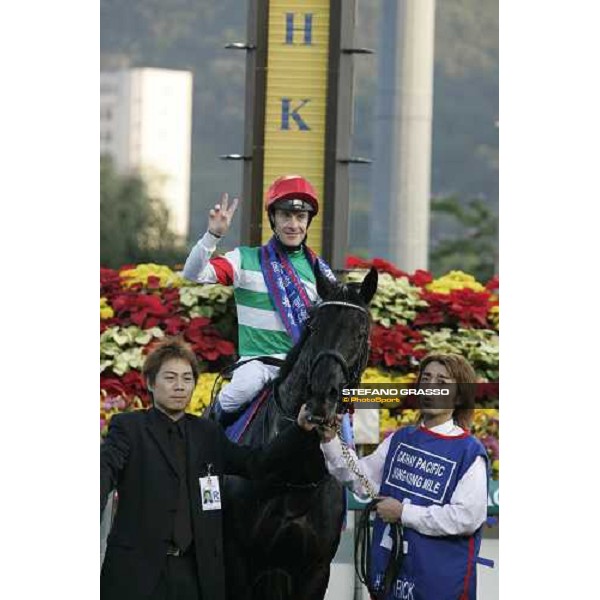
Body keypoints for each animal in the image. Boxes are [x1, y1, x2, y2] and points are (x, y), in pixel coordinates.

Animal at [220, 266, 380, 600]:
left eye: (360, 333)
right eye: (314, 327)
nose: (321, 398)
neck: (295, 478)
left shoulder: (315, 570)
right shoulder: (238, 560)